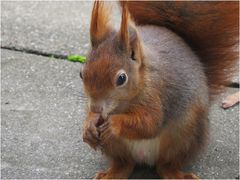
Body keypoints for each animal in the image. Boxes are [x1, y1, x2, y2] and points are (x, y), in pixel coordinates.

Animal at [80, 1, 238, 179]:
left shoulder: (158, 94)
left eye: (121, 78)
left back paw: (176, 175)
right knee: (124, 163)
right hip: (117, 147)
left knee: (165, 165)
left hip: (184, 137)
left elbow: (150, 123)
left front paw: (113, 124)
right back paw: (112, 173)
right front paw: (89, 124)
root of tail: (144, 158)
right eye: (81, 73)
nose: (96, 108)